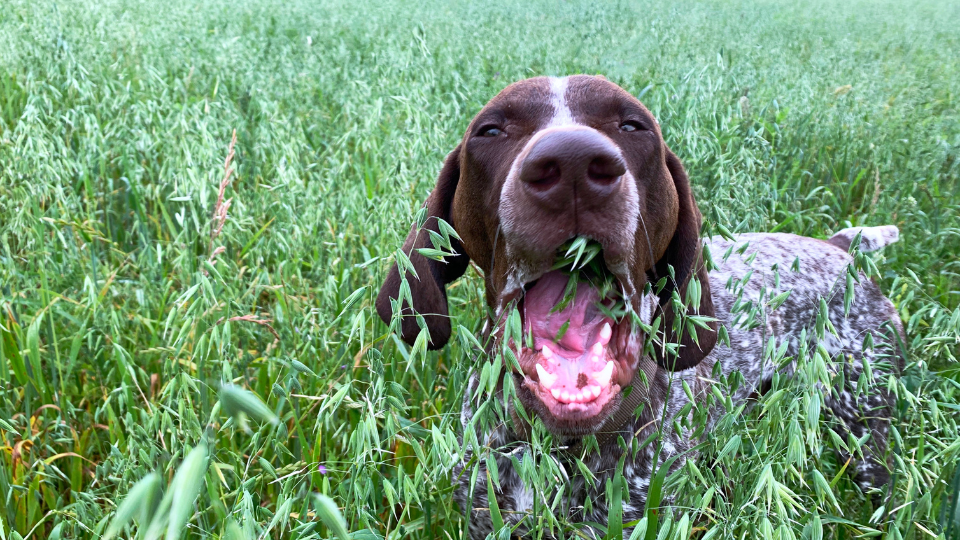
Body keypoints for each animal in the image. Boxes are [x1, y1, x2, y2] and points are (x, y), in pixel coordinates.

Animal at [374, 75, 900, 536]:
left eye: (633, 125)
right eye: (490, 130)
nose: (571, 162)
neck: (559, 448)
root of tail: (838, 248)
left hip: (863, 424)